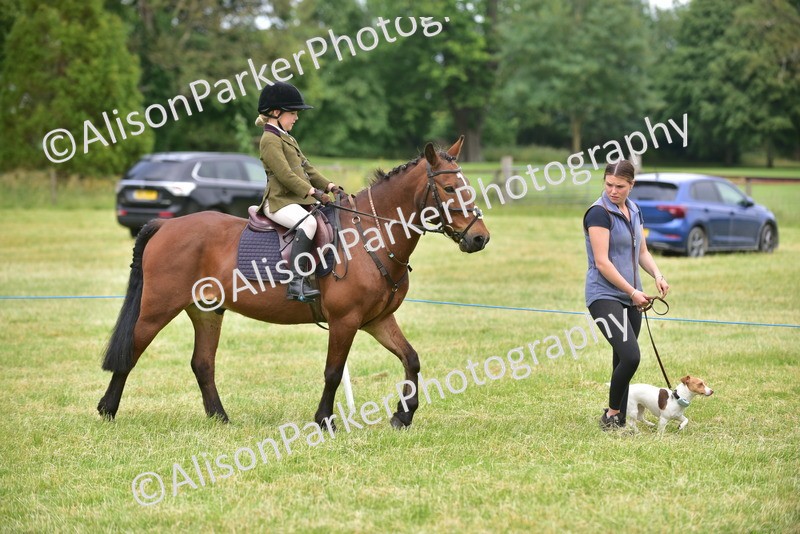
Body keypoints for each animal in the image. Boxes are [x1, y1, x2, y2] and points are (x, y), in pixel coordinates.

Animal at [97, 136, 490, 429]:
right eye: (450, 188)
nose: (480, 239)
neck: (370, 236)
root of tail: (167, 225)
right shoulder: (345, 321)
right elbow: (333, 372)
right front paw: (325, 421)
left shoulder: (377, 320)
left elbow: (411, 359)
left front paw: (402, 415)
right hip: (158, 307)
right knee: (132, 351)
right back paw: (107, 410)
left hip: (206, 310)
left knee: (202, 363)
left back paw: (220, 418)